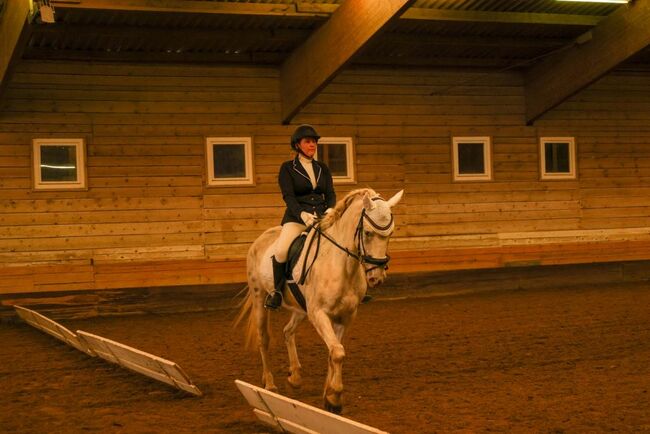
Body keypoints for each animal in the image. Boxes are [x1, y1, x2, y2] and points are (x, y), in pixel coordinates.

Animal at [235, 186, 402, 414]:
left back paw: (295, 377)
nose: (376, 278)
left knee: (288, 331)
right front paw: (335, 399)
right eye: (368, 233)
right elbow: (338, 353)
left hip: (300, 308)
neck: (342, 266)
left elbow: (333, 352)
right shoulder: (319, 314)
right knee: (264, 339)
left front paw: (328, 394)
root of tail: (261, 238)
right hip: (260, 297)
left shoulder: (345, 317)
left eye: (390, 234)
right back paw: (269, 384)